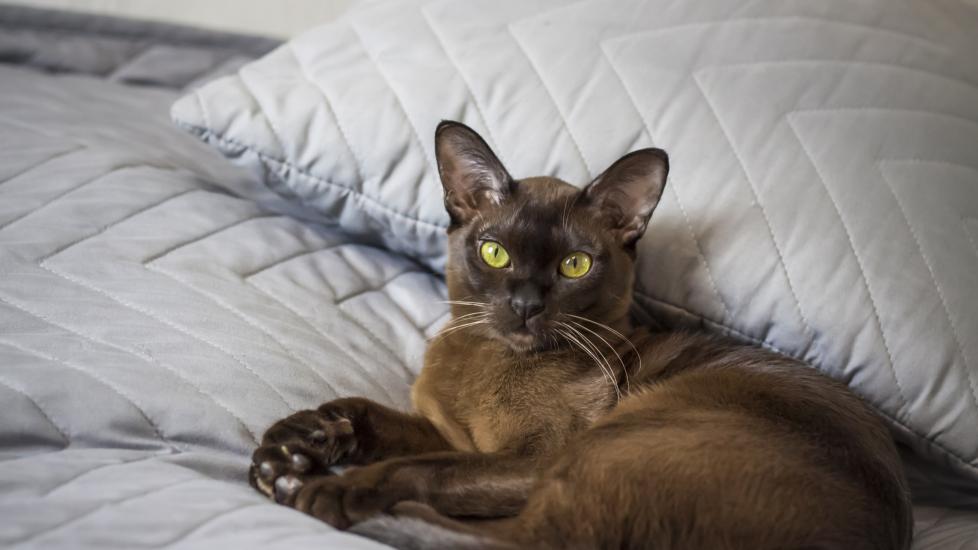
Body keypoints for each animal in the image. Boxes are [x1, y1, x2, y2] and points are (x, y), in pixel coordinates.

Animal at [248, 122, 912, 550]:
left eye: (574, 265)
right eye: (494, 252)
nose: (524, 305)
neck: (488, 361)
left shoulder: (525, 458)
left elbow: (422, 467)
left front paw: (326, 484)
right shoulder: (451, 432)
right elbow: (366, 414)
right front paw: (292, 447)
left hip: (616, 439)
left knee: (528, 539)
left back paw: (322, 496)